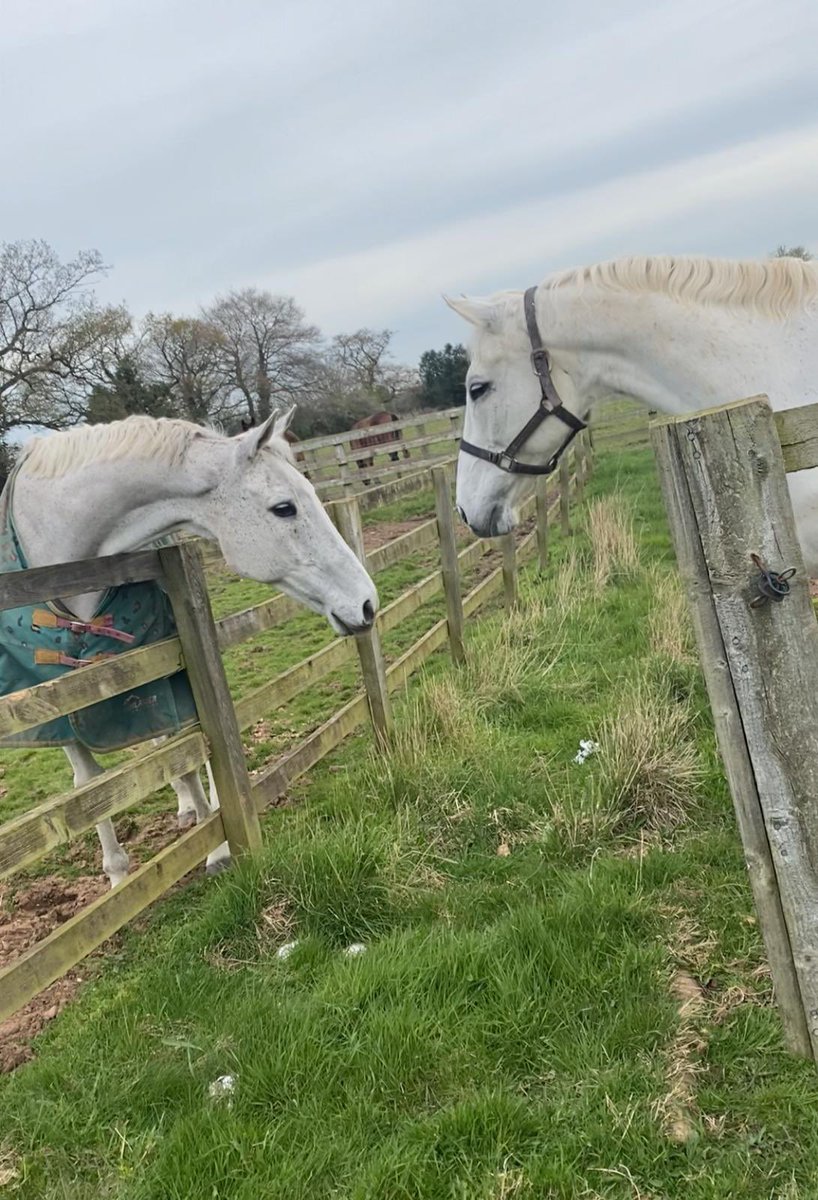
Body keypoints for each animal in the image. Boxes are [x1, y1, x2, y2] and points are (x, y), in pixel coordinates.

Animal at [7, 408, 376, 888]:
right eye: (284, 507)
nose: (366, 603)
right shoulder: (56, 711)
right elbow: (88, 790)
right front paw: (119, 878)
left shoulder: (172, 674)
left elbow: (192, 754)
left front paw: (216, 846)